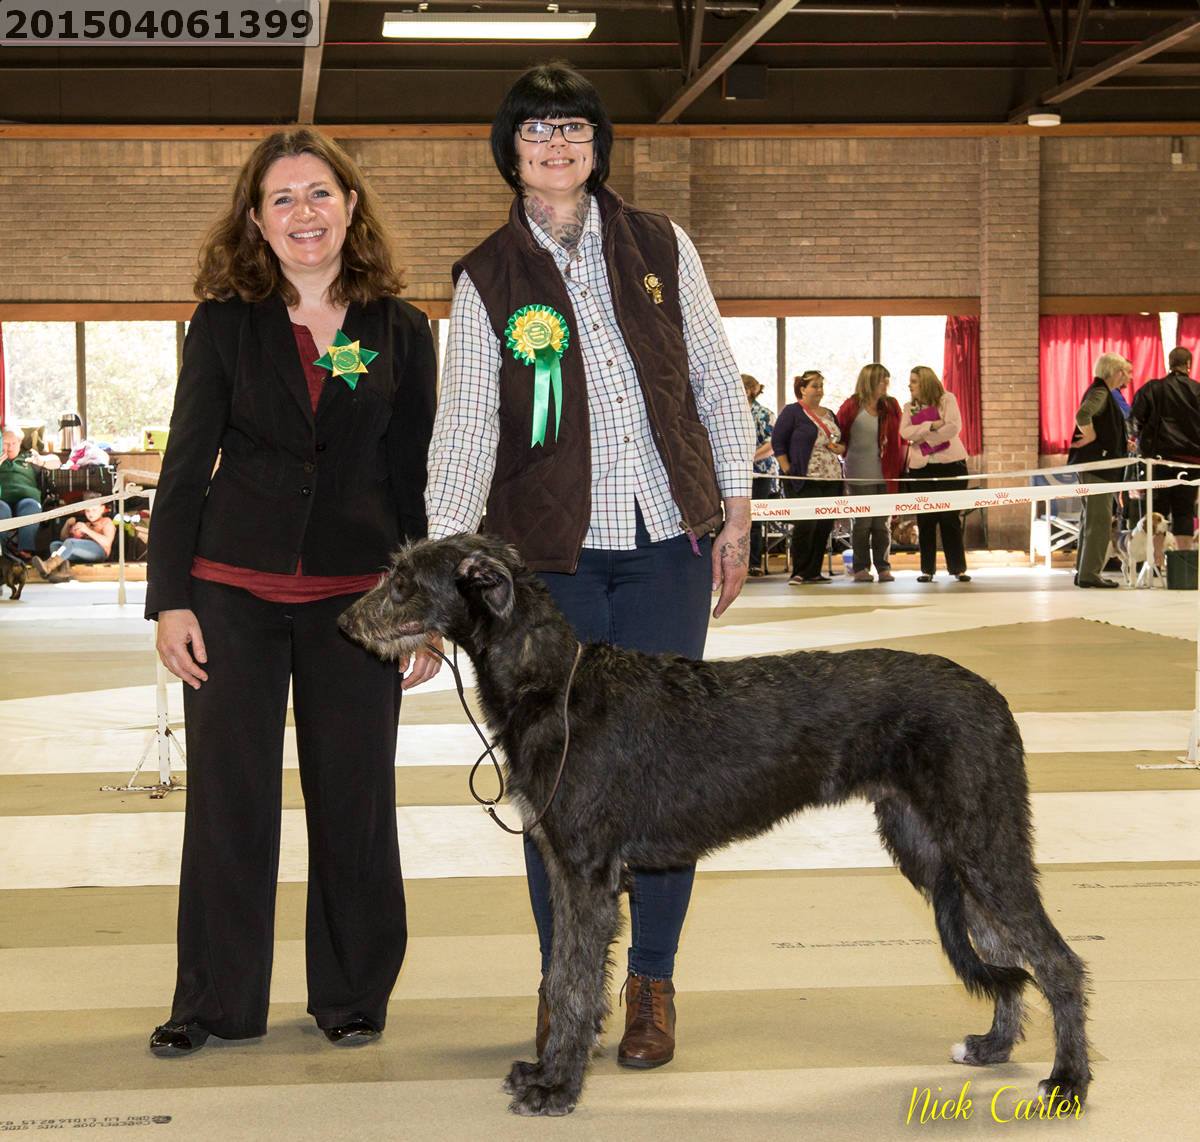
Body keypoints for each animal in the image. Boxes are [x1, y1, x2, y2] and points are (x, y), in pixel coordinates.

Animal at [338, 532, 1089, 1113]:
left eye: (403, 582)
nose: (344, 624)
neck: (555, 685)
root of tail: (995, 698)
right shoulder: (565, 866)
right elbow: (561, 975)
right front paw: (548, 1068)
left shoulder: (587, 874)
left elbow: (576, 983)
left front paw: (558, 1086)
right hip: (937, 853)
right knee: (1006, 956)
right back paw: (994, 1046)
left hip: (982, 842)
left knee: (1056, 959)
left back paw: (1069, 1080)